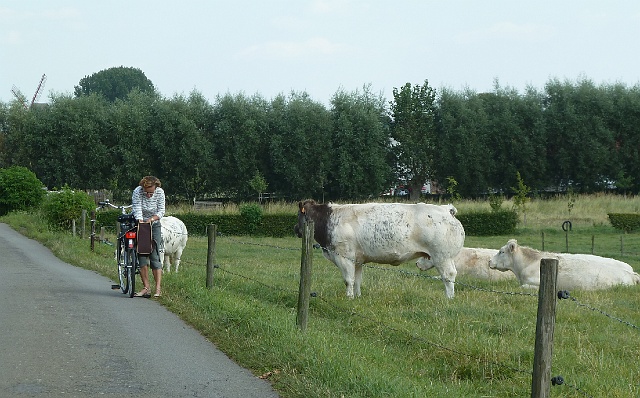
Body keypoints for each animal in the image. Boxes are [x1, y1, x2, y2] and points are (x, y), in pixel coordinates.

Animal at [296, 199, 464, 298]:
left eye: (299, 215)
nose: (295, 229)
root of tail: (446, 209)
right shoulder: (358, 260)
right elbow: (357, 280)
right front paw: (357, 297)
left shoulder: (344, 256)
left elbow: (348, 280)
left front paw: (349, 297)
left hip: (442, 256)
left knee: (449, 276)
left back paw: (449, 298)